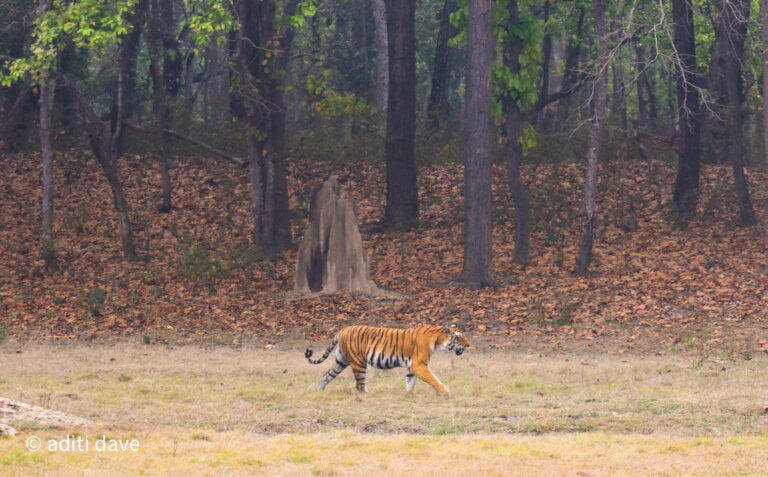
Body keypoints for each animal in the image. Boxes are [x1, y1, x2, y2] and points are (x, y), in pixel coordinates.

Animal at [304, 323, 470, 396]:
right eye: (459, 337)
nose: (469, 345)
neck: (437, 340)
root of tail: (342, 330)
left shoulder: (412, 366)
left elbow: (410, 382)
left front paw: (408, 394)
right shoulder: (419, 365)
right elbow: (433, 379)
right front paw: (445, 392)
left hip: (341, 360)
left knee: (326, 375)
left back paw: (319, 392)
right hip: (358, 362)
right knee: (359, 385)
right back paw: (368, 393)